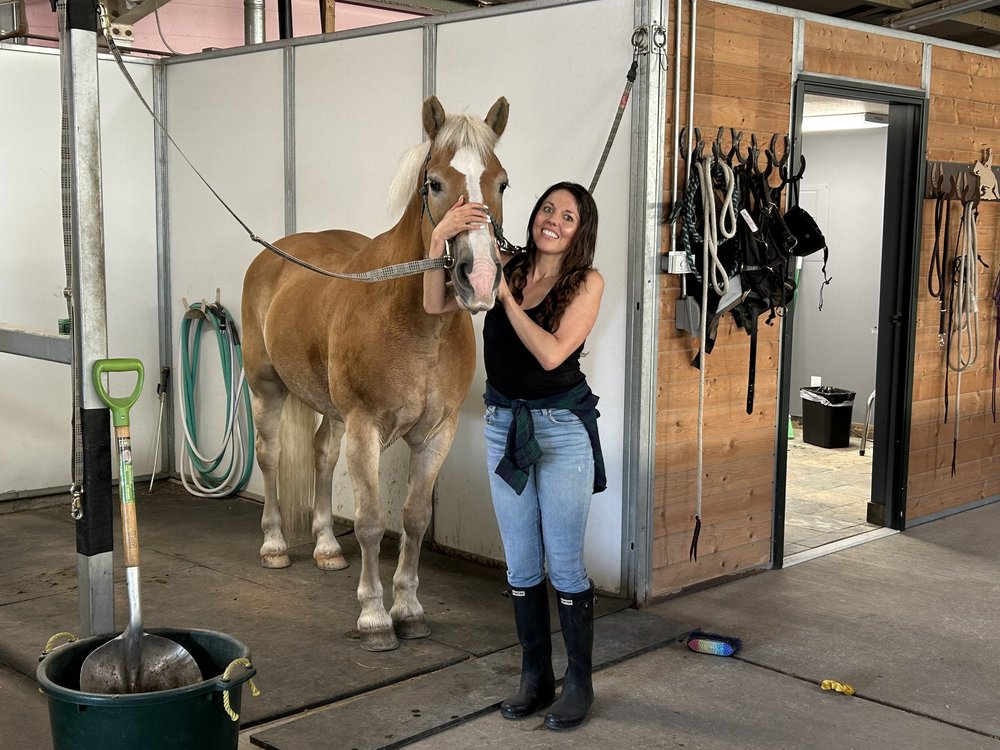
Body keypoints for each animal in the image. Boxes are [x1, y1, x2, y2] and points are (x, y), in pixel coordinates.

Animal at [241, 96, 509, 651]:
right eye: (434, 182)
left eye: (501, 182)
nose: (479, 278)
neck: (415, 322)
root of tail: (272, 255)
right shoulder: (365, 428)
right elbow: (369, 523)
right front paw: (375, 616)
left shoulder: (436, 433)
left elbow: (415, 519)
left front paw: (408, 608)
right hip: (267, 389)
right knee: (270, 456)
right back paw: (275, 544)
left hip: (332, 411)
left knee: (321, 456)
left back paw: (325, 547)